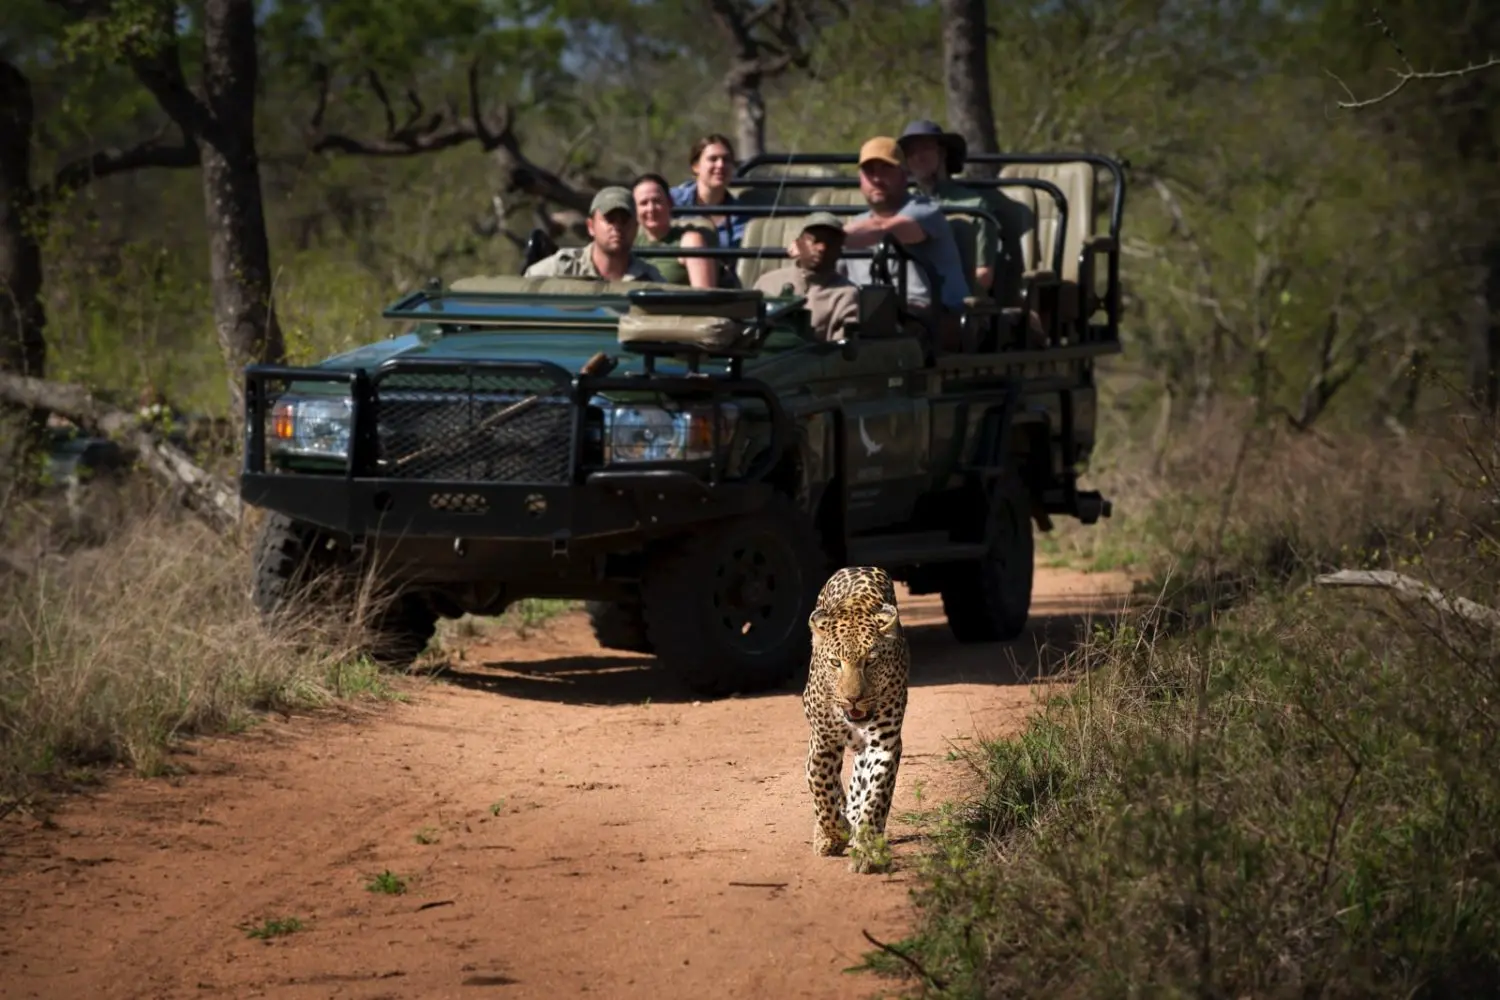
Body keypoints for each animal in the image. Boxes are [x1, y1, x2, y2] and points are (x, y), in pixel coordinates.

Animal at [801, 564, 911, 874]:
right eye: (835, 663)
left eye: (870, 661)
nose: (852, 698)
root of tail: (857, 566)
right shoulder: (823, 742)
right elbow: (821, 789)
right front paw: (833, 834)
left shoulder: (884, 745)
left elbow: (875, 797)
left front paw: (867, 851)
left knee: (859, 783)